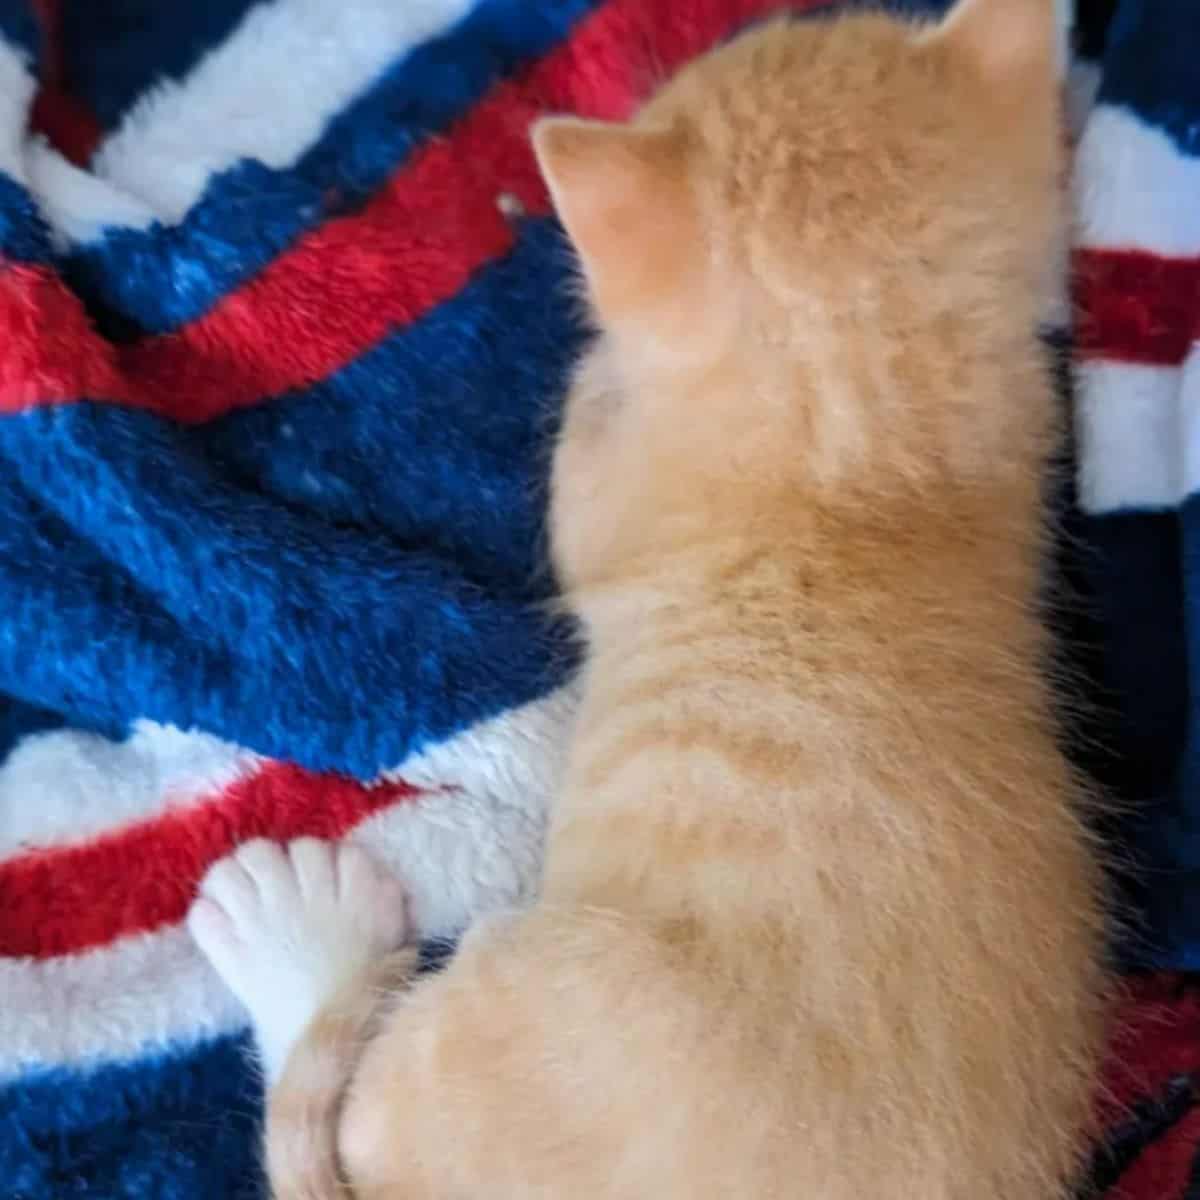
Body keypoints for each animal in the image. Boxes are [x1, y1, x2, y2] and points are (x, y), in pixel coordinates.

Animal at [187, 2, 1104, 1200]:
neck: (869, 446)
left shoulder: (595, 498)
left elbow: (583, 447)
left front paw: (599, 360)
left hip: (490, 996)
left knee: (342, 1117)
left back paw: (295, 937)